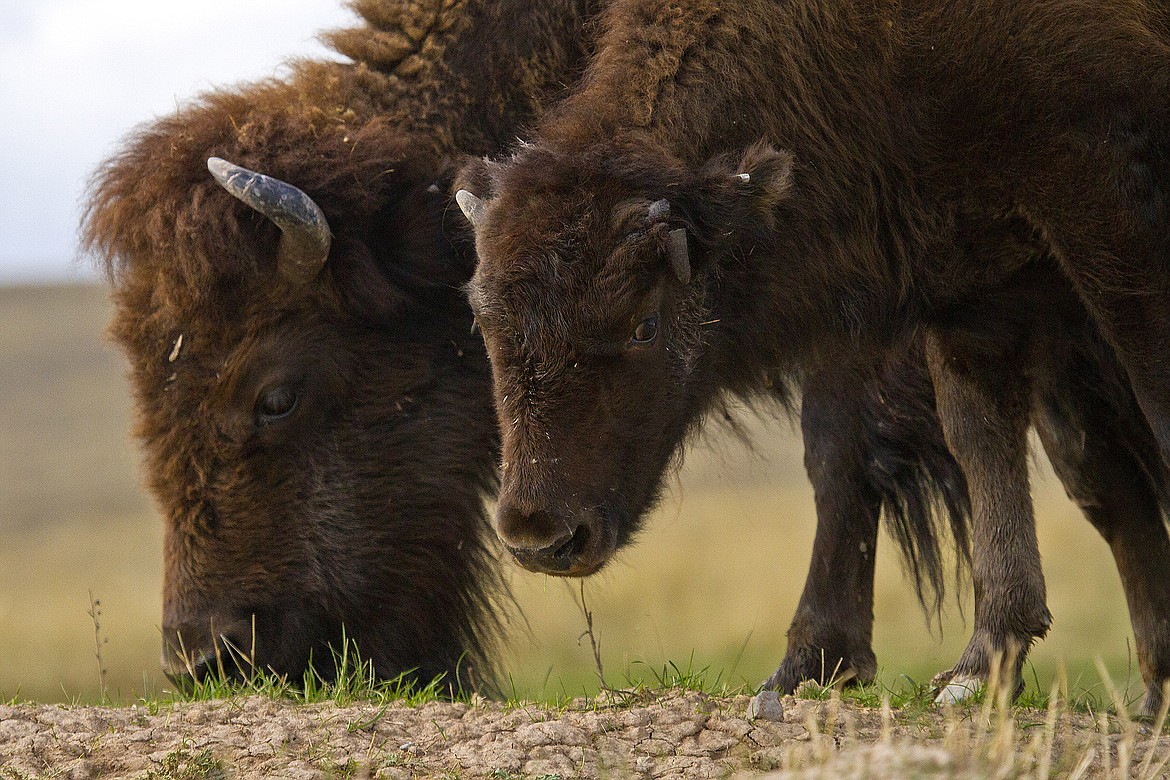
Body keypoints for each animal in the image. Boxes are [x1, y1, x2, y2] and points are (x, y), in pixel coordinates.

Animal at [451, 0, 1170, 715]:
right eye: (483, 318)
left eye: (644, 324)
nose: (541, 536)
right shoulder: (966, 278)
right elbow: (973, 443)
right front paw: (973, 670)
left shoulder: (1095, 190)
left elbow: (1152, 399)